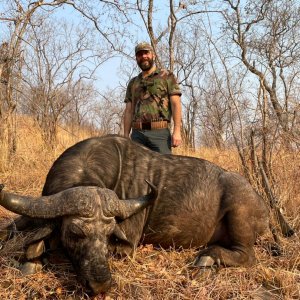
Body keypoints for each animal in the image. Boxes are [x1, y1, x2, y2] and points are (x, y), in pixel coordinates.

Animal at [0, 135, 270, 296]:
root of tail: (261, 203)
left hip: (238, 212)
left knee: (247, 256)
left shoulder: (126, 247)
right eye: (75, 233)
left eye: (109, 235)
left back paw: (206, 259)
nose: (101, 284)